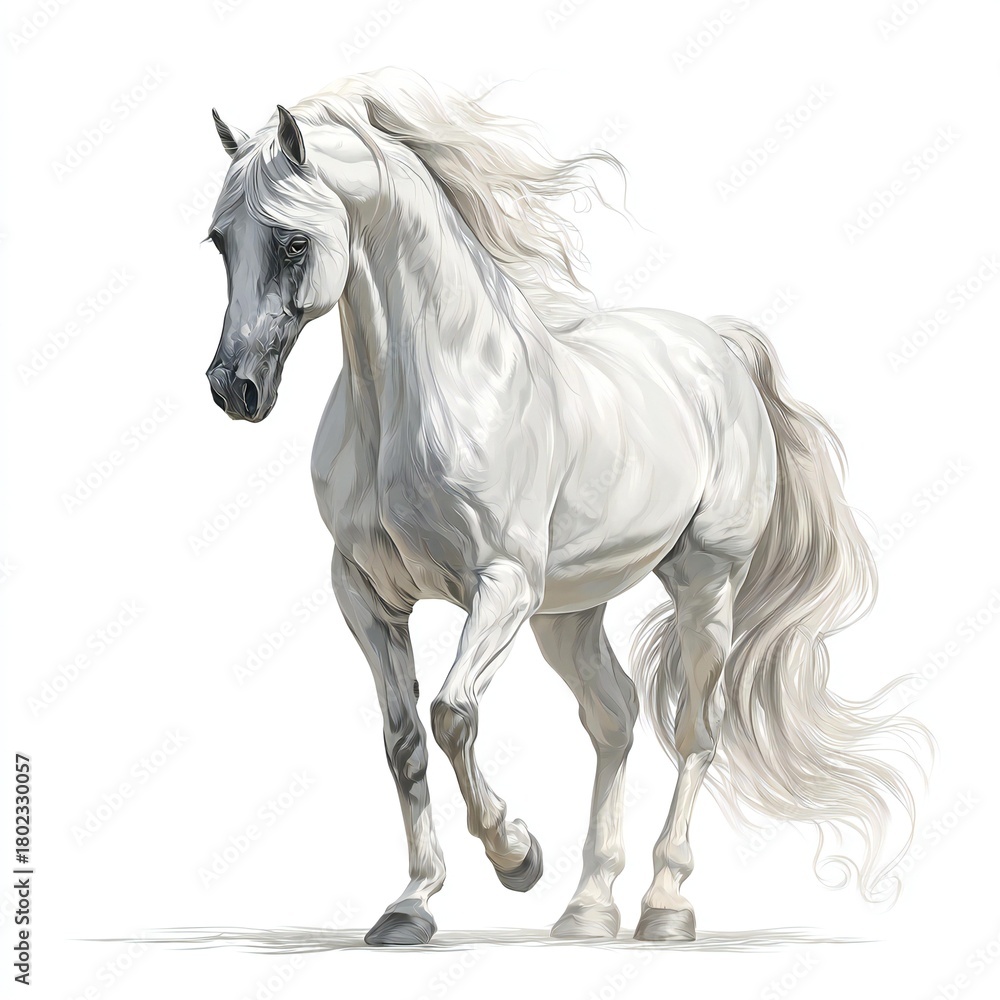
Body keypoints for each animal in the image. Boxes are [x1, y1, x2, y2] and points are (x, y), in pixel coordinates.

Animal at [204, 69, 926, 946]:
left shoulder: (503, 583)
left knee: (696, 729)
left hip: (702, 584)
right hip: (568, 612)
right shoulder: (367, 597)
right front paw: (410, 906)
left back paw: (663, 907)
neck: (425, 395)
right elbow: (403, 739)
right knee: (614, 718)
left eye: (292, 243)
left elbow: (452, 713)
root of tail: (720, 349)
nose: (234, 388)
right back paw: (587, 908)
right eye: (219, 241)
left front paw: (516, 857)